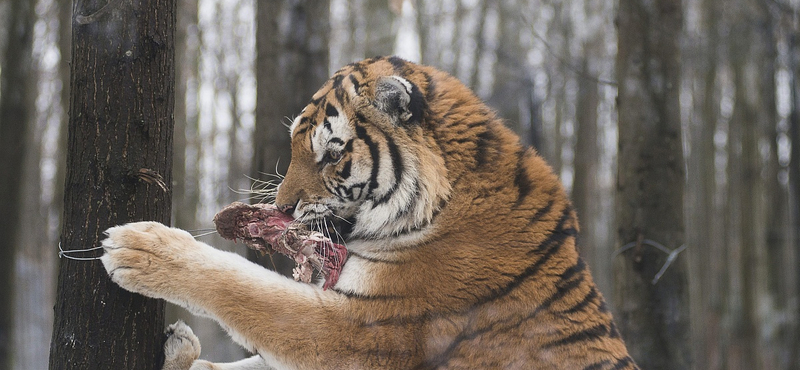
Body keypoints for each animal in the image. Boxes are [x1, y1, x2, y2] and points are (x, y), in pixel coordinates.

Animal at [101, 55, 636, 370]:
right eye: (295, 144)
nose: (282, 206)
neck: (444, 204)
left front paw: (141, 248)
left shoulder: (366, 331)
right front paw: (182, 351)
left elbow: (249, 291)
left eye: (330, 152)